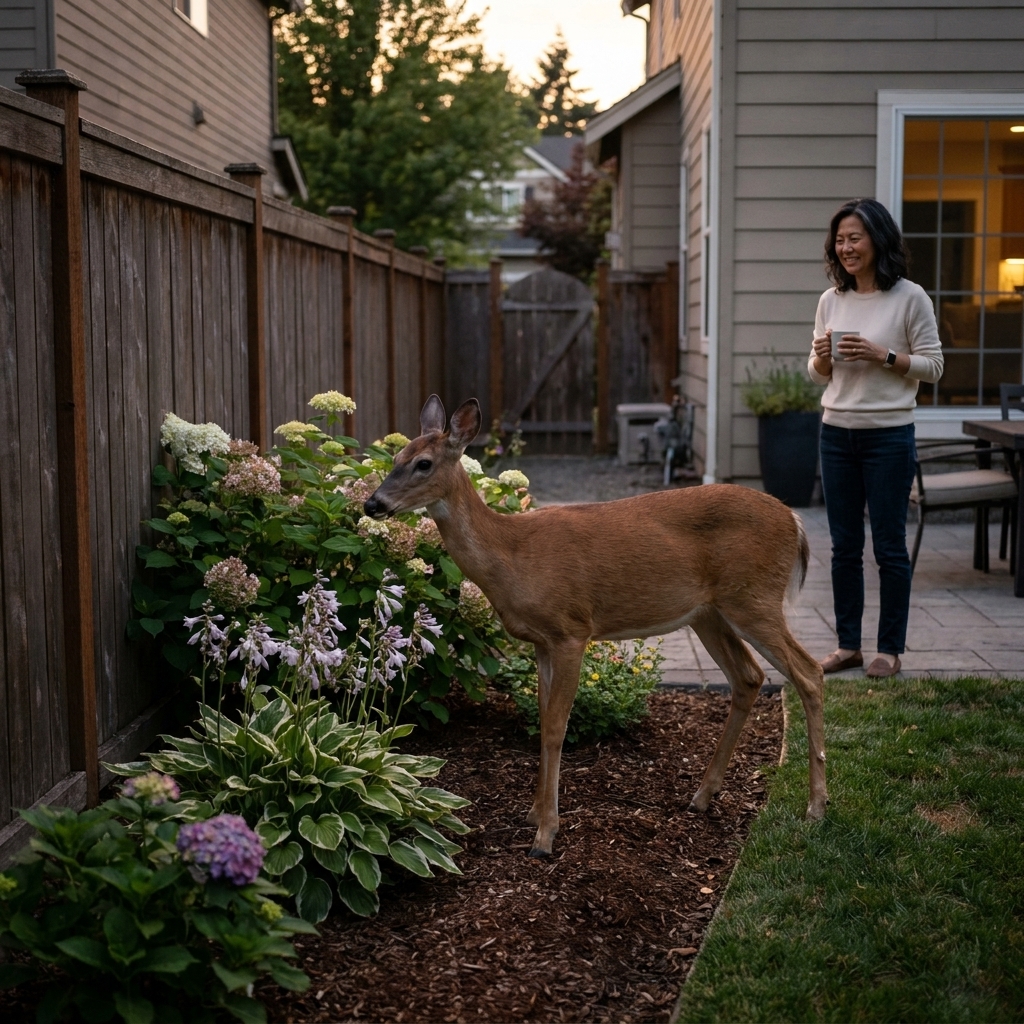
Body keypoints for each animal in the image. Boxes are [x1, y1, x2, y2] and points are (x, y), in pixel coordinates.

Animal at [364, 396, 827, 858]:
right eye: (396, 457)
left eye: (423, 463)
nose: (372, 504)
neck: (513, 554)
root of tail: (795, 521)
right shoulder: (541, 642)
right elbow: (542, 720)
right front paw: (533, 814)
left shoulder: (572, 629)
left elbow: (555, 727)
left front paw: (545, 835)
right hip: (709, 614)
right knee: (749, 678)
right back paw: (701, 797)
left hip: (754, 599)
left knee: (810, 672)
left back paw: (815, 808)